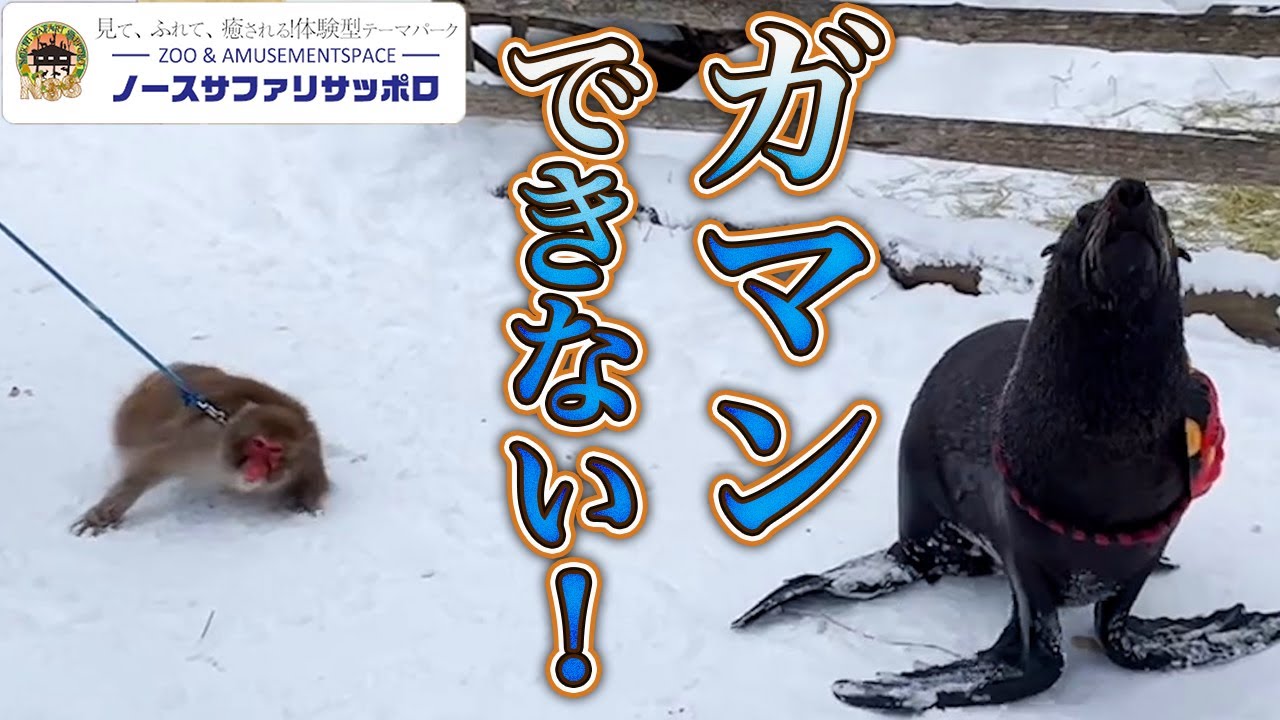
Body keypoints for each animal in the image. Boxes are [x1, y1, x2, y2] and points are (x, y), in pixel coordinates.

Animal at [71, 363, 330, 536]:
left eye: (274, 450)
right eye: (258, 444)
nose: (255, 468)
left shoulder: (309, 452)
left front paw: (305, 506)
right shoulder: (203, 440)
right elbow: (150, 467)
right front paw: (102, 515)